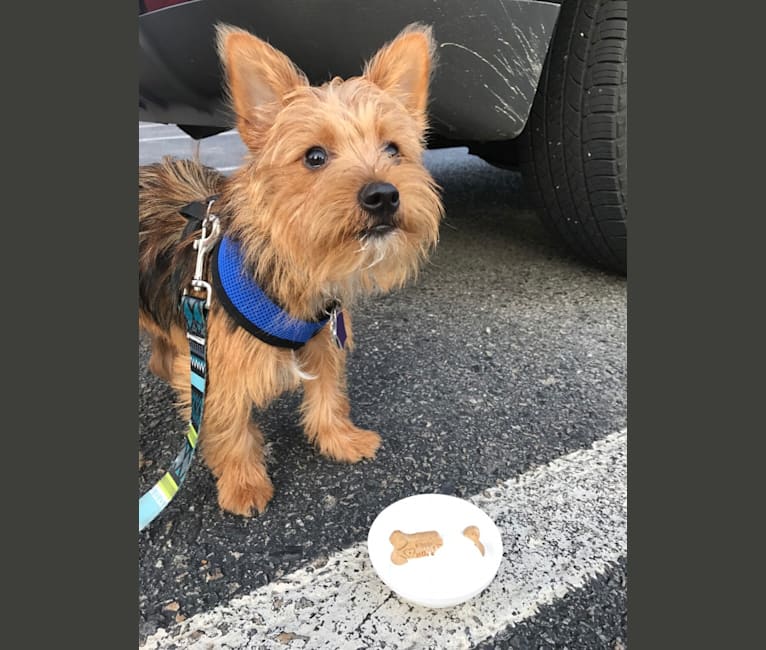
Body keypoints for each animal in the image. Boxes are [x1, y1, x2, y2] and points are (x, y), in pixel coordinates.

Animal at [138, 25, 444, 516]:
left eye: (393, 149)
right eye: (314, 157)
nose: (383, 195)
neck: (300, 267)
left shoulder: (323, 340)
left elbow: (329, 395)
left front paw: (339, 439)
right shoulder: (220, 367)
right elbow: (230, 426)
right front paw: (244, 483)